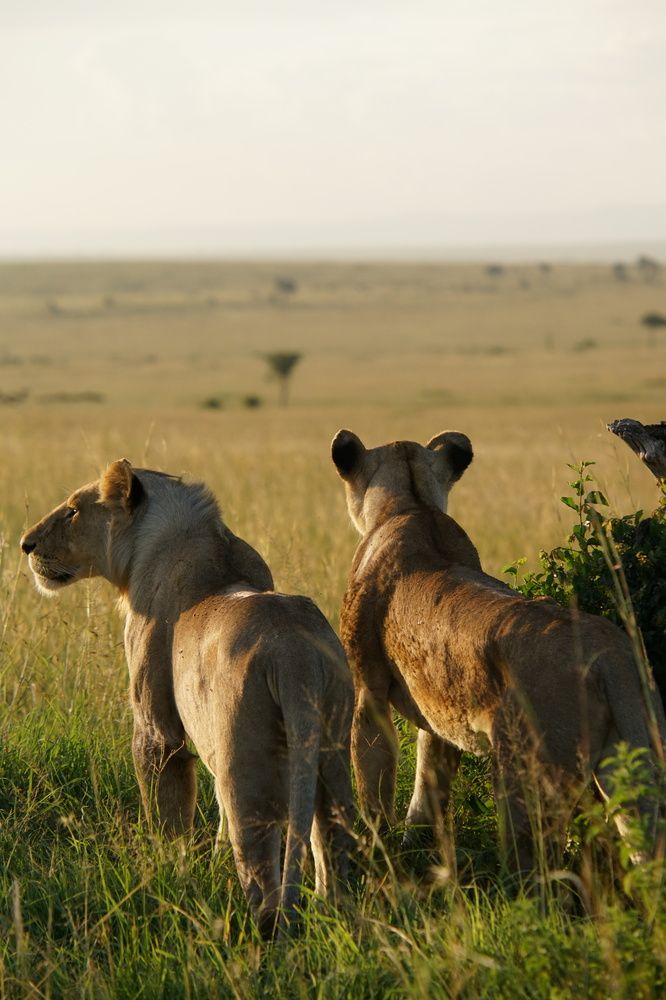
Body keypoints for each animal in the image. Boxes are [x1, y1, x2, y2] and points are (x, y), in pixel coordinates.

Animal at [21, 459, 355, 936]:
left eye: (71, 511)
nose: (24, 544)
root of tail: (297, 659)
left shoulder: (157, 727)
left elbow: (167, 811)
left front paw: (167, 869)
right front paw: (208, 861)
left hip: (248, 770)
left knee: (260, 869)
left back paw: (264, 936)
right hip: (332, 753)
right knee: (333, 843)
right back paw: (335, 919)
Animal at [331, 428, 666, 872]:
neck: (412, 506)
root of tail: (613, 655)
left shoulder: (367, 689)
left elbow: (373, 785)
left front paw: (377, 855)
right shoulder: (438, 712)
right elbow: (428, 786)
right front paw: (414, 848)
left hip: (525, 772)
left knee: (536, 869)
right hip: (633, 765)